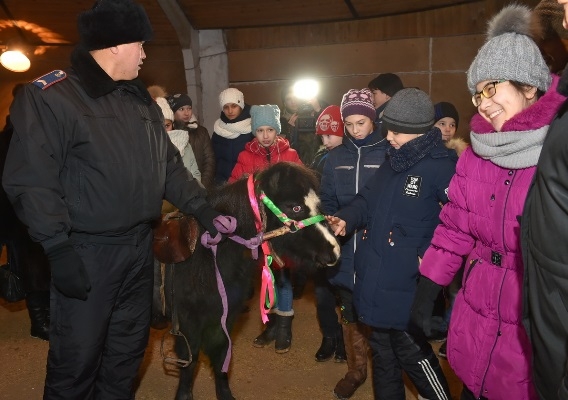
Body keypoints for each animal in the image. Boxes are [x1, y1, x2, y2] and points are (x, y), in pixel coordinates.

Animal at [166, 162, 340, 400]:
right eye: (295, 207)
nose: (334, 251)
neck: (208, 256)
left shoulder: (225, 317)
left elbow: (222, 355)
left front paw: (225, 394)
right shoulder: (188, 322)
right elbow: (189, 360)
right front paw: (184, 395)